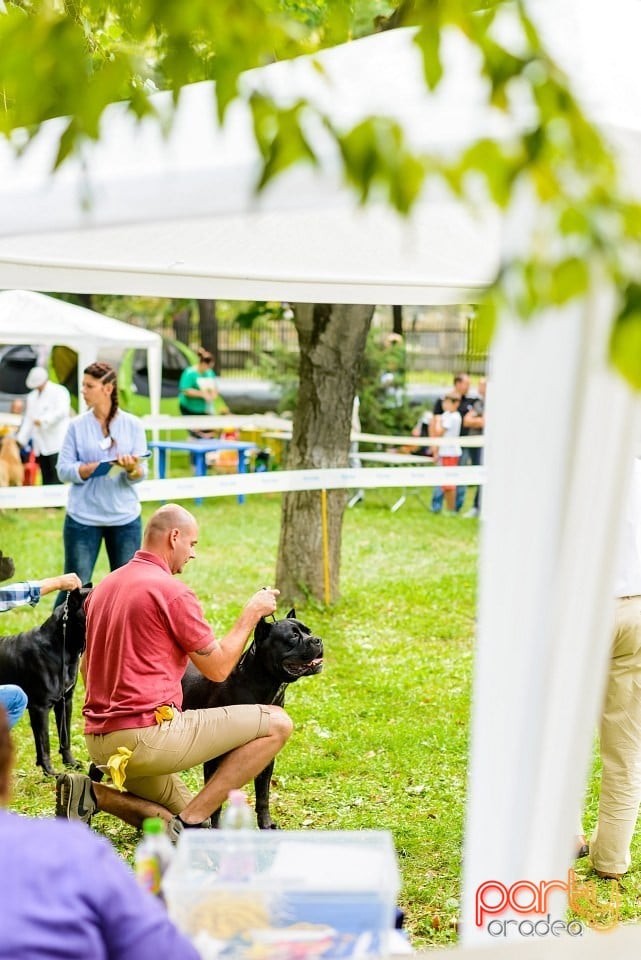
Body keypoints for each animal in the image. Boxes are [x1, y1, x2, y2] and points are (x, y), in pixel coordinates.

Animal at [0, 584, 90, 780]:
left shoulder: (65, 702)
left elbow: (65, 737)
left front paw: (71, 764)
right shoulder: (40, 708)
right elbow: (44, 743)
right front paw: (50, 772)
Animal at [181, 612, 322, 828]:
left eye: (309, 631)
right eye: (293, 636)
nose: (318, 640)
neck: (263, 682)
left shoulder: (266, 758)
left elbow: (263, 795)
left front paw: (266, 825)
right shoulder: (215, 759)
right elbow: (214, 802)